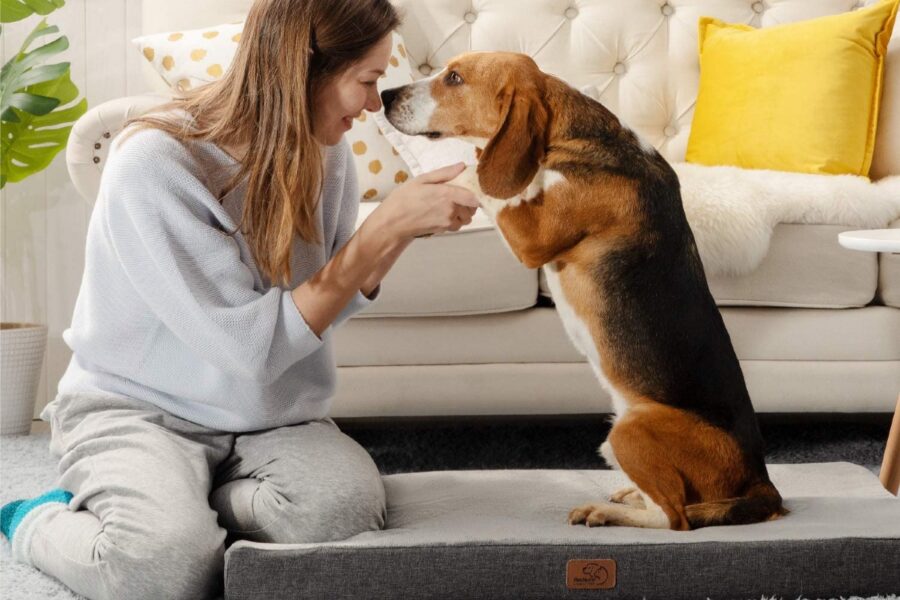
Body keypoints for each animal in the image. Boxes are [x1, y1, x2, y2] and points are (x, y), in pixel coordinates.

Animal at [384, 51, 784, 528]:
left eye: (455, 79)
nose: (385, 95)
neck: (569, 136)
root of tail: (761, 480)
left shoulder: (532, 237)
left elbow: (474, 176)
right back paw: (627, 496)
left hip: (628, 428)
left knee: (674, 517)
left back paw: (606, 512)